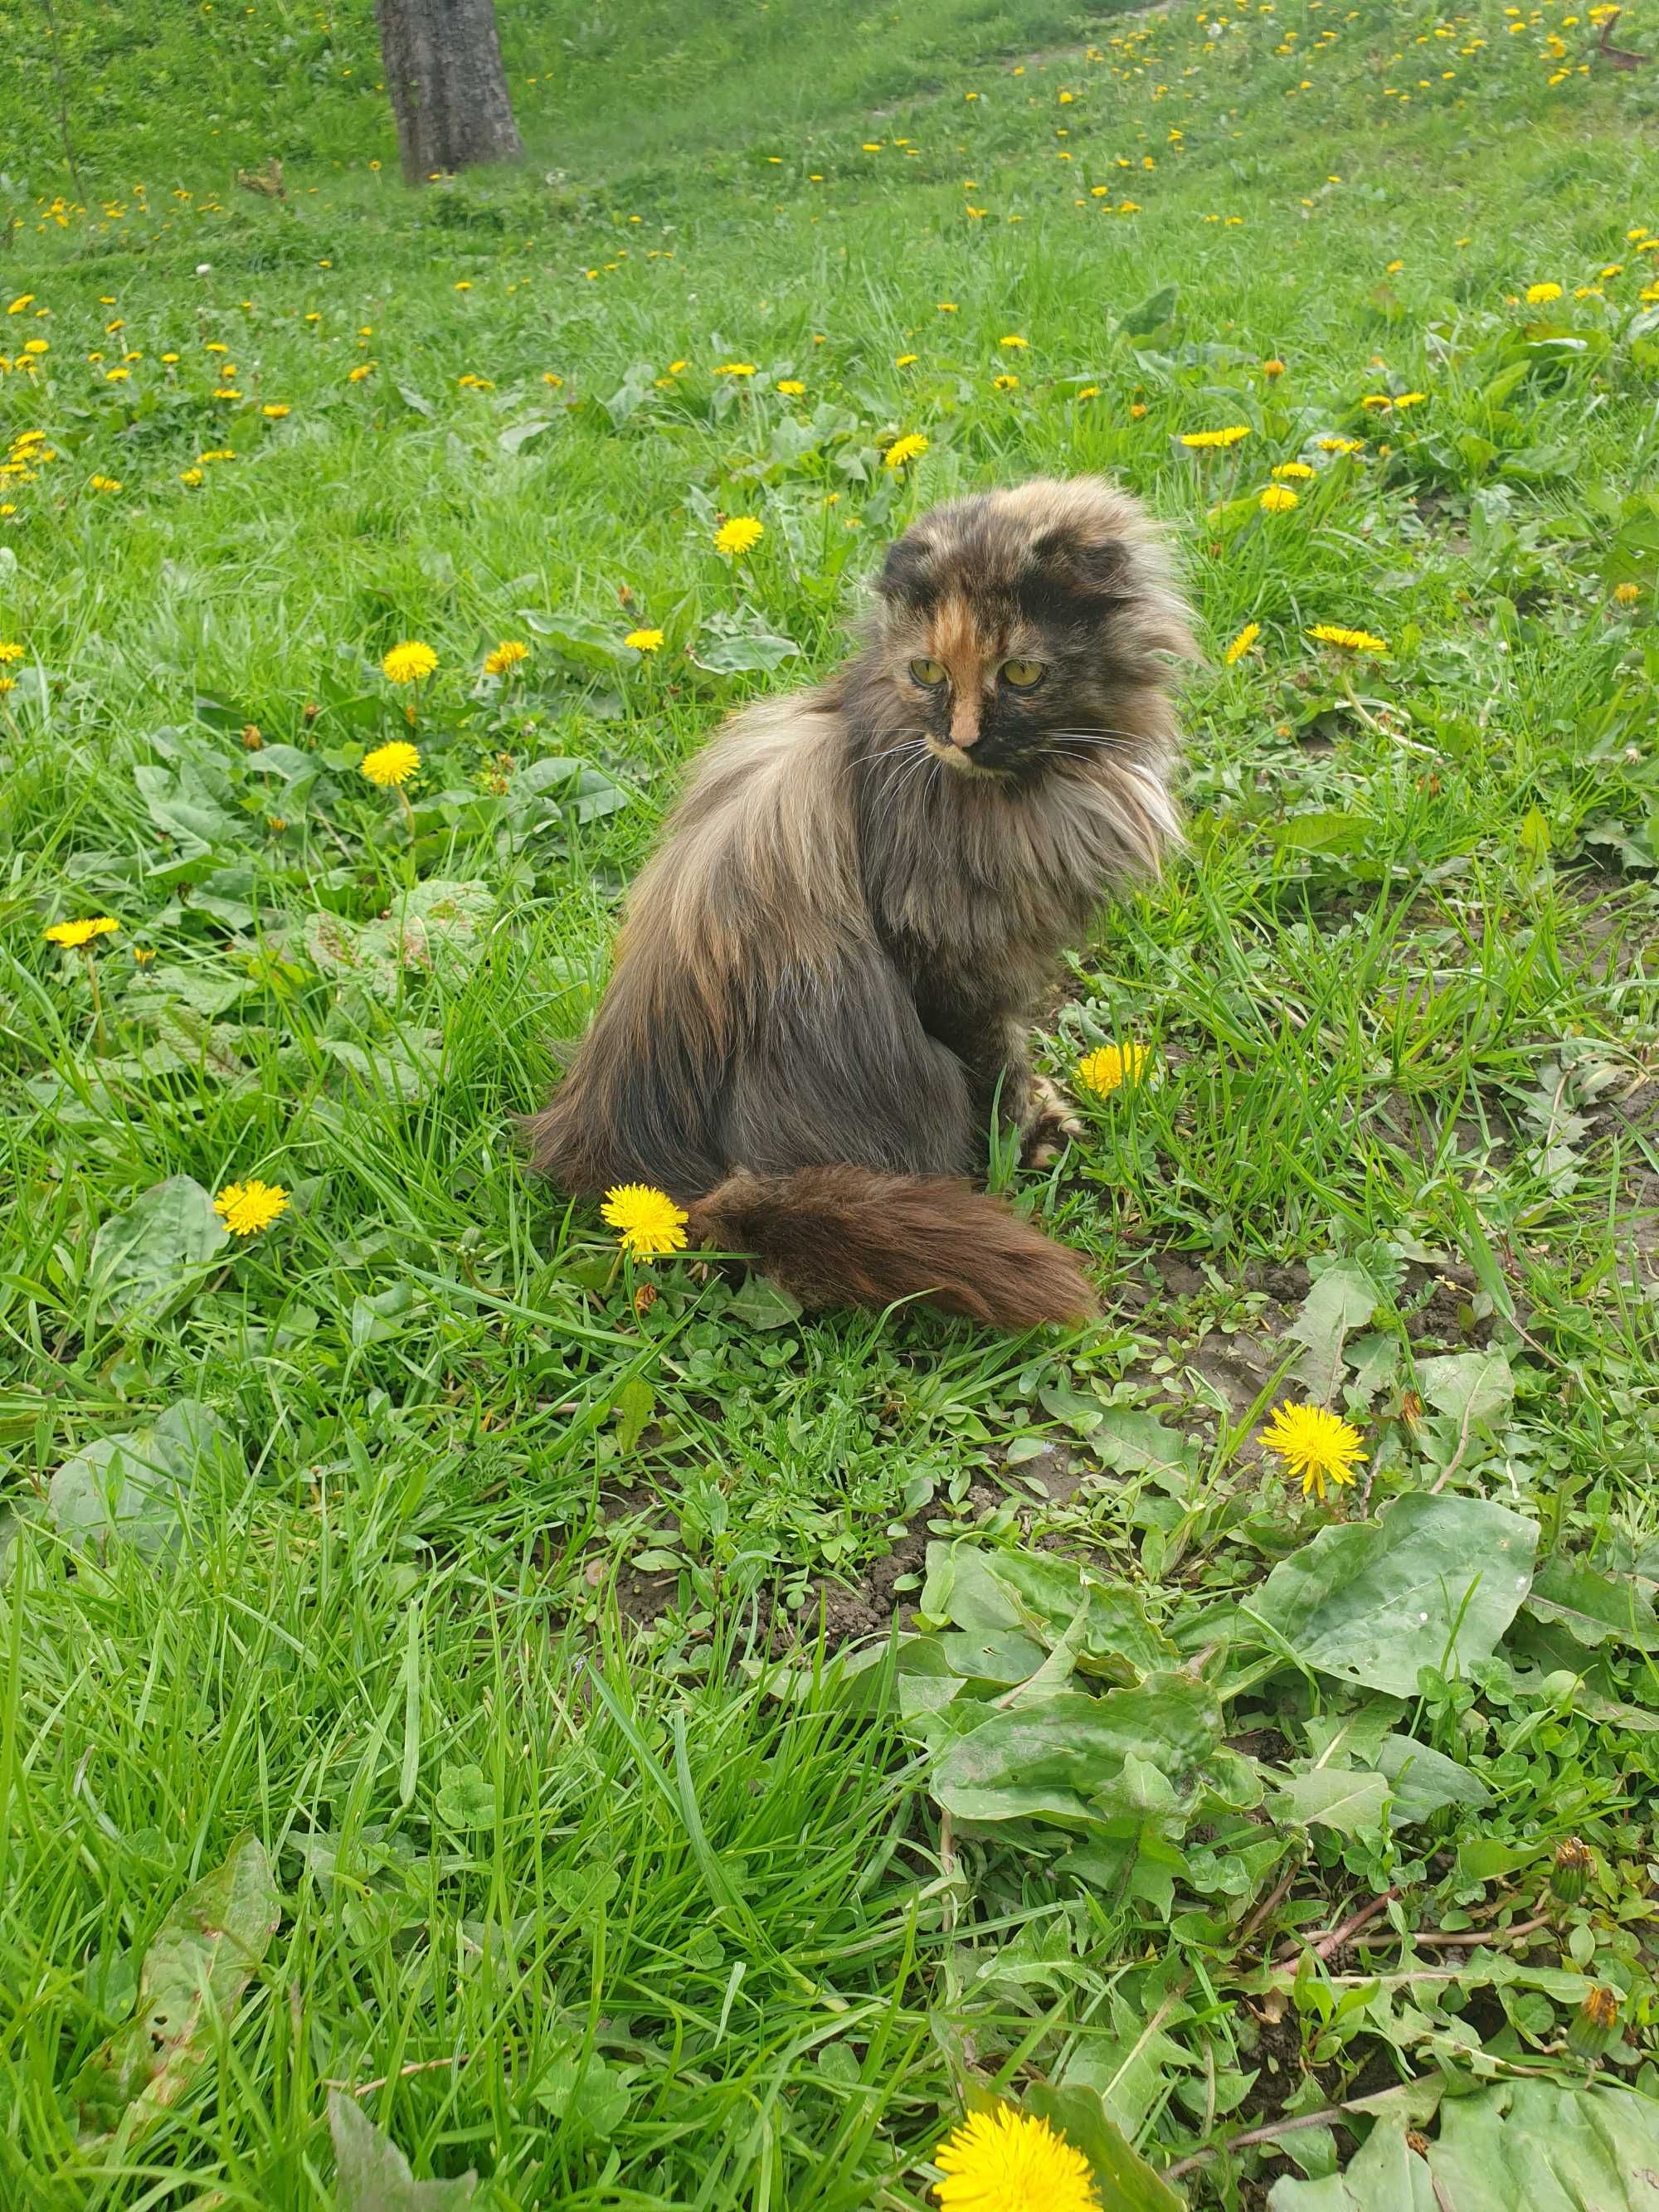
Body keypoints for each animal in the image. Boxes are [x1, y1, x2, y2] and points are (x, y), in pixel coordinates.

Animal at [533, 473, 1194, 1318]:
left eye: (1020, 675)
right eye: (927, 674)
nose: (961, 739)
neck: (1033, 792)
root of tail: (653, 1174)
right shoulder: (951, 960)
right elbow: (998, 1064)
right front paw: (1029, 1132)